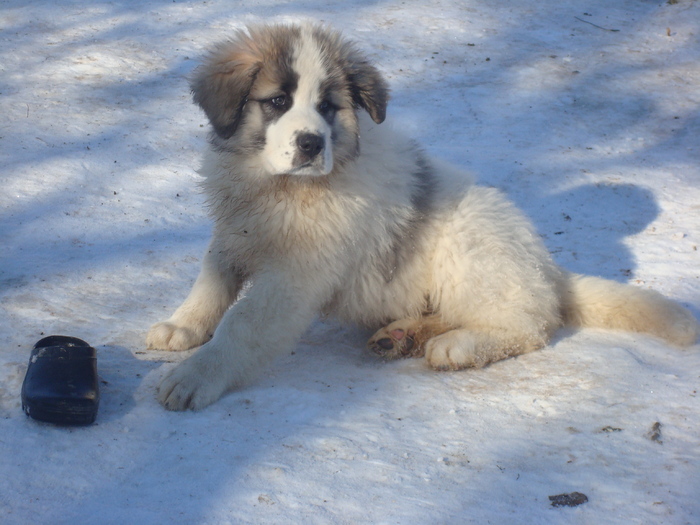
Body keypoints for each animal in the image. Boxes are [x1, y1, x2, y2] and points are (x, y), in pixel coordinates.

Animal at [145, 23, 696, 410]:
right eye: (277, 102)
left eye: (327, 108)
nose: (310, 144)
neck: (279, 186)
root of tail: (546, 268)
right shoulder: (236, 230)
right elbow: (212, 281)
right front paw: (182, 327)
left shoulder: (295, 274)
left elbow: (243, 321)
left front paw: (197, 375)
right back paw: (403, 334)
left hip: (469, 251)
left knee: (531, 325)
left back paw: (460, 345)